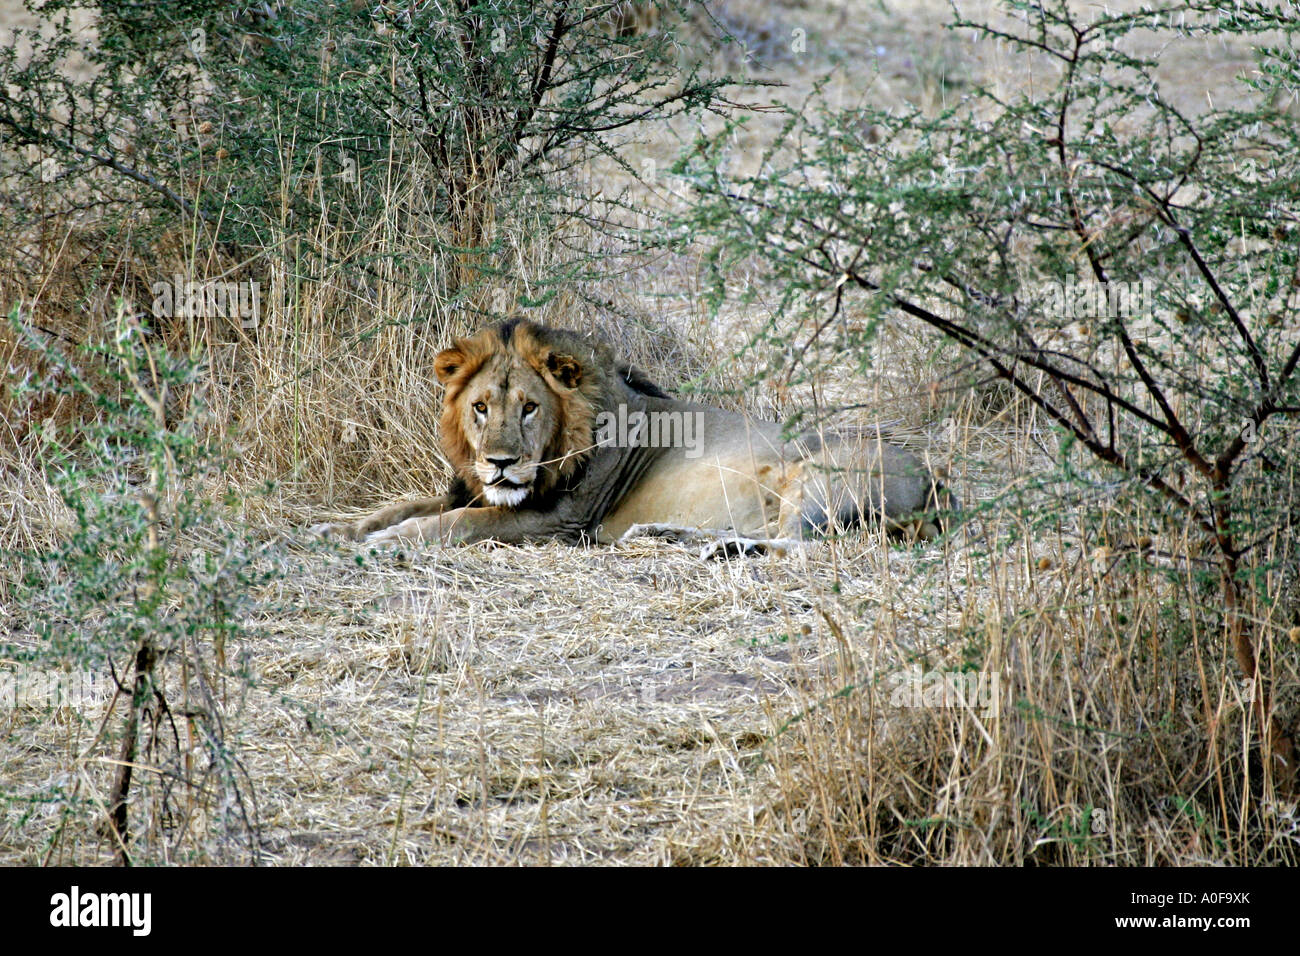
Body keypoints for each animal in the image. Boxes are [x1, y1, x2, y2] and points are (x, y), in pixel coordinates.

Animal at [312, 318, 955, 550]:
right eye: (480, 408)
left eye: (529, 408)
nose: (499, 463)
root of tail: (936, 483)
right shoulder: (473, 489)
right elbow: (402, 505)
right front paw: (334, 529)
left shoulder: (558, 520)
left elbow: (460, 522)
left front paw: (386, 542)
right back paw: (667, 534)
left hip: (822, 477)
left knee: (804, 546)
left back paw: (719, 547)